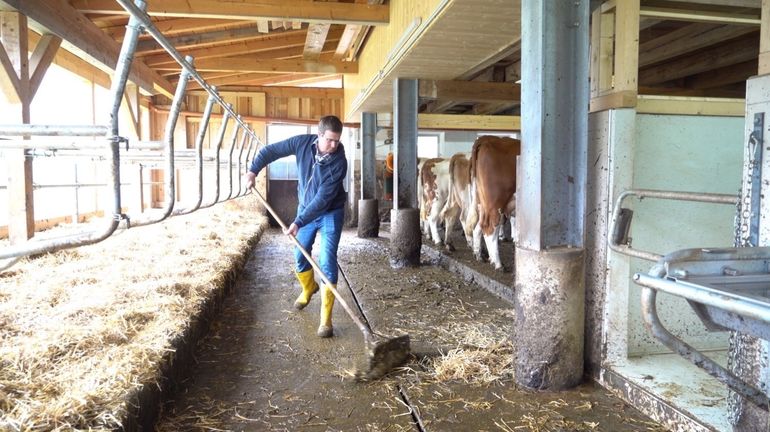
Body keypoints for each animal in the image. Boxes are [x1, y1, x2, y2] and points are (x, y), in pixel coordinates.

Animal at [464, 135, 520, 270]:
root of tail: (486, 139)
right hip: (495, 202)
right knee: (489, 227)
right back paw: (497, 263)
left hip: (481, 202)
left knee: (478, 226)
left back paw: (479, 255)